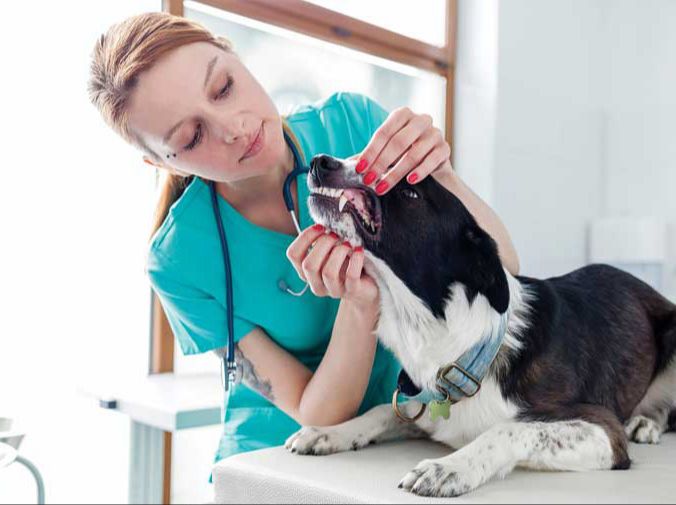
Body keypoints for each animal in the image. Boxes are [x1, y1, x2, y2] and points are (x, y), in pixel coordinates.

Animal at [286, 153, 676, 496]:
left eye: (411, 191)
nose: (321, 161)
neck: (464, 348)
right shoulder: (424, 412)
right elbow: (382, 409)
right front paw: (329, 431)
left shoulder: (603, 430)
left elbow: (508, 430)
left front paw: (449, 468)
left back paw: (645, 422)